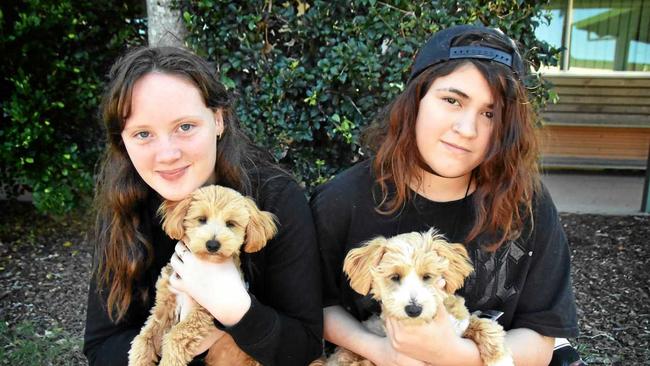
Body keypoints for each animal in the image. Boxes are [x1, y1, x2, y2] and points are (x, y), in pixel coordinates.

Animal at [128, 186, 276, 366]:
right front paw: (138, 359)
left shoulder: (204, 311)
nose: (213, 244)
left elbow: (176, 336)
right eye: (202, 219)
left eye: (230, 224)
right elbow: (145, 336)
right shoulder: (166, 304)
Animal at [324, 229, 512, 366]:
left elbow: (484, 324)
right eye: (395, 277)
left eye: (427, 276)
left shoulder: (461, 321)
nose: (413, 309)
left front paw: (500, 359)